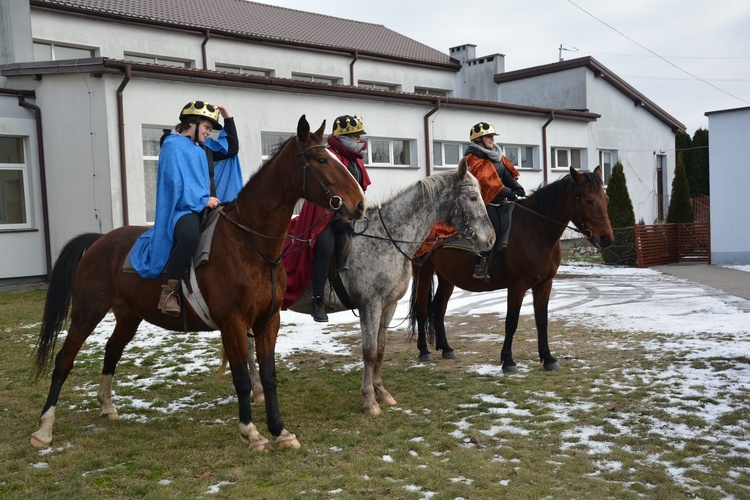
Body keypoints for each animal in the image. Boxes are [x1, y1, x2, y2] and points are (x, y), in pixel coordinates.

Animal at [30, 115, 366, 452]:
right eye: (322, 159)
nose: (360, 204)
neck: (251, 244)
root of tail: (99, 240)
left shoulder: (268, 320)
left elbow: (269, 376)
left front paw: (280, 430)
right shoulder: (233, 323)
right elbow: (242, 378)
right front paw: (252, 433)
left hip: (128, 315)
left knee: (111, 351)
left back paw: (107, 407)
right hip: (87, 311)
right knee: (64, 360)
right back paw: (44, 429)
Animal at [412, 166, 616, 374]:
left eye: (606, 199)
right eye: (588, 200)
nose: (607, 239)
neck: (534, 230)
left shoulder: (544, 284)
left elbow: (542, 321)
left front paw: (548, 358)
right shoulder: (517, 285)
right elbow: (511, 321)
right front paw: (508, 360)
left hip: (447, 277)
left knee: (439, 308)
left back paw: (446, 348)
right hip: (423, 271)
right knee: (422, 309)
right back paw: (423, 351)